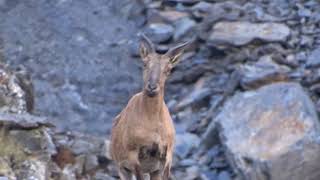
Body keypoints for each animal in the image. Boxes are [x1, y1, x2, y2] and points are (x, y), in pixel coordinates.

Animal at [110, 35, 190, 180]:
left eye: (168, 69)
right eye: (145, 64)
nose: (152, 87)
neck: (152, 123)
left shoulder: (166, 157)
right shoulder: (133, 157)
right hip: (122, 168)